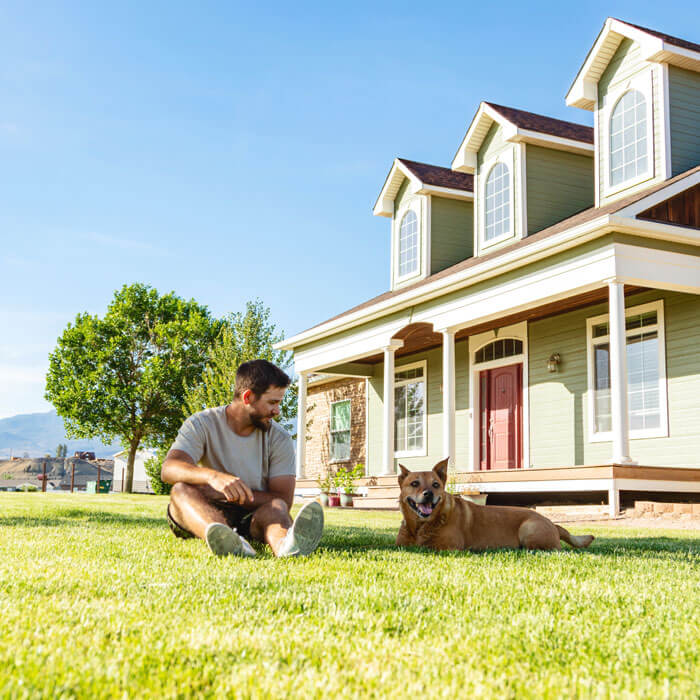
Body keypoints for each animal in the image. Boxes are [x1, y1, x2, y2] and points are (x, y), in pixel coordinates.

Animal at [396, 460, 592, 552]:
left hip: (529, 529)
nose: (429, 494)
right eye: (414, 483)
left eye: (436, 484)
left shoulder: (449, 547)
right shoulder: (401, 544)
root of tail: (553, 523)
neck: (422, 525)